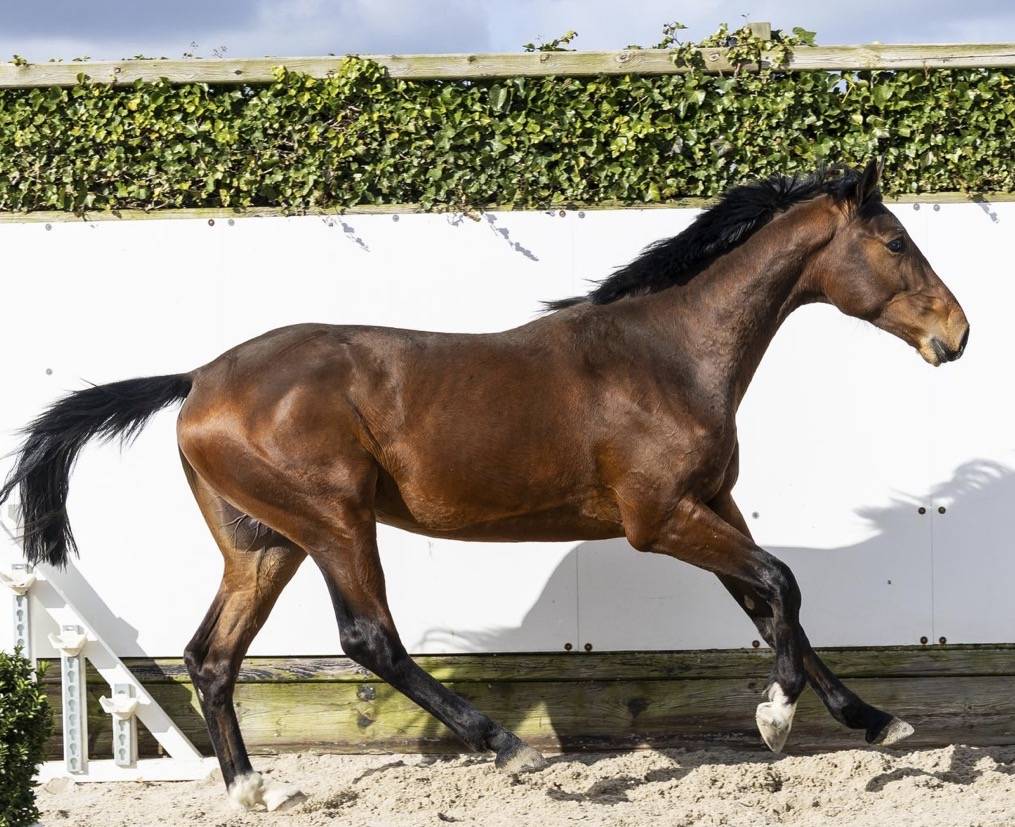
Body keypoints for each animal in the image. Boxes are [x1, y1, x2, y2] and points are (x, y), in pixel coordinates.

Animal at [0, 160, 968, 811]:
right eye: (894, 241)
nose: (955, 334)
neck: (667, 355)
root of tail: (197, 378)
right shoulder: (659, 519)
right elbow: (782, 582)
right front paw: (774, 718)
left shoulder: (712, 504)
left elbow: (774, 607)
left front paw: (874, 720)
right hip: (335, 521)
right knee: (368, 638)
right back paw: (505, 744)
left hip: (264, 543)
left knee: (212, 655)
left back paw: (252, 790)